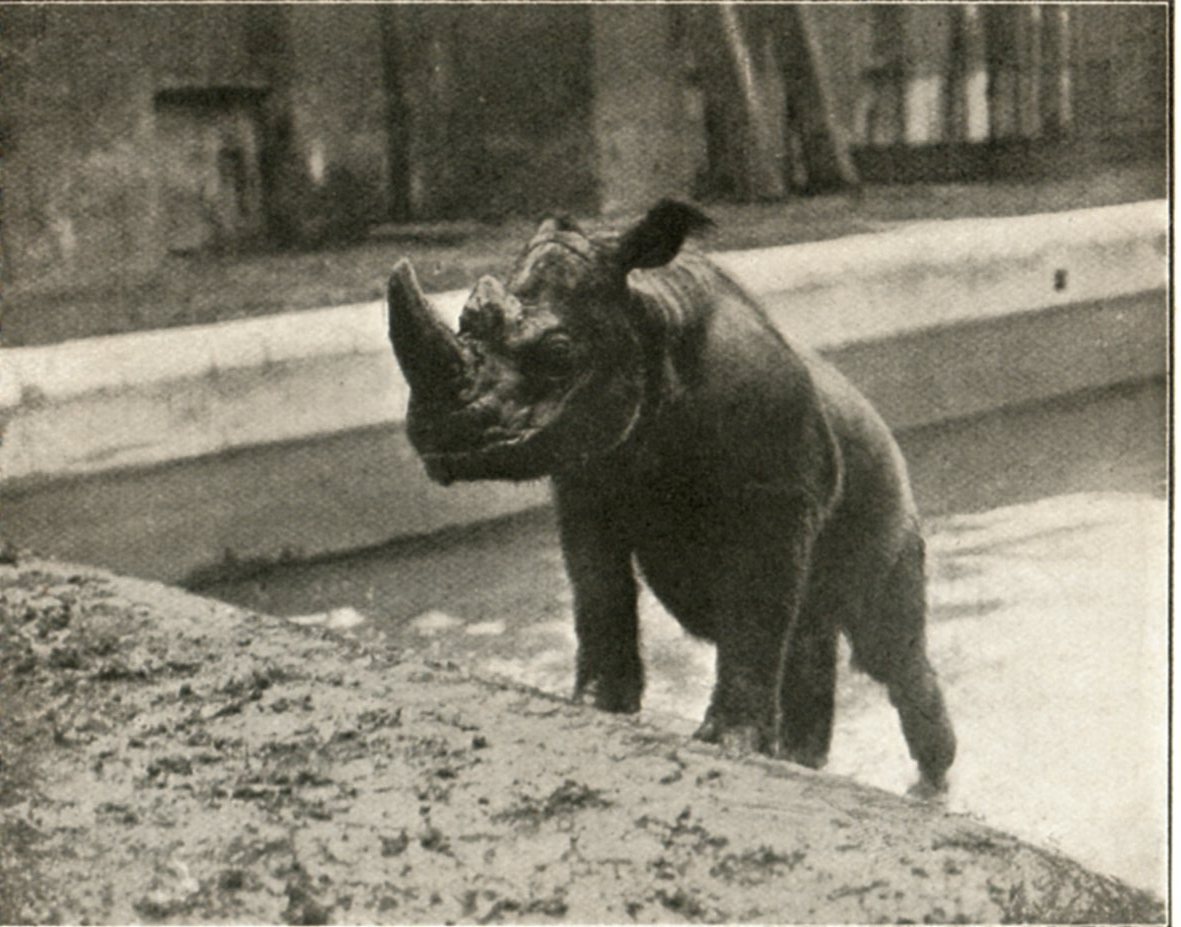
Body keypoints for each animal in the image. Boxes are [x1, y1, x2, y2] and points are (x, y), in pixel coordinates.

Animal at [386, 201, 956, 794]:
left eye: (560, 353)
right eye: (465, 324)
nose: (437, 437)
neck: (651, 322)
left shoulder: (775, 495)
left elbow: (754, 612)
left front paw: (730, 744)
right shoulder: (586, 482)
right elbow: (598, 590)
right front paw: (597, 705)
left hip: (892, 497)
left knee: (883, 648)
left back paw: (930, 781)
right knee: (810, 631)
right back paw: (806, 761)